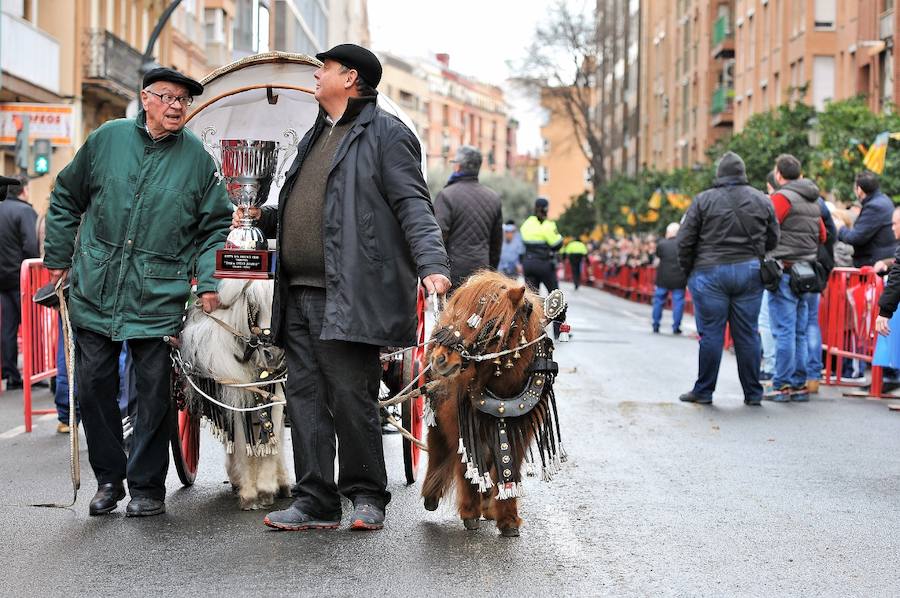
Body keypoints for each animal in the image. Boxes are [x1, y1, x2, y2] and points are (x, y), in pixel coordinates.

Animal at [176, 280, 288, 510]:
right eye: (253, 303)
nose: (274, 355)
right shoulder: (236, 399)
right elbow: (243, 442)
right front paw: (250, 493)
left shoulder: (276, 395)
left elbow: (272, 439)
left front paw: (266, 487)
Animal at [422, 272, 564, 540]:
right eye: (458, 312)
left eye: (493, 323)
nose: (440, 359)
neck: (501, 383)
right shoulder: (463, 426)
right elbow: (466, 463)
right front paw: (470, 512)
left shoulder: (518, 426)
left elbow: (509, 465)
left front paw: (507, 518)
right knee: (438, 449)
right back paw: (431, 495)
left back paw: (488, 503)